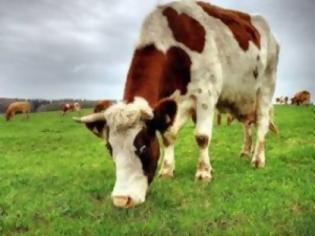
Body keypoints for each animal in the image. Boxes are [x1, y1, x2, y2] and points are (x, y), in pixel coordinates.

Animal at [73, 0, 278, 207]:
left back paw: (258, 159)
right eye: (110, 148)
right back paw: (245, 151)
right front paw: (167, 170)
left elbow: (202, 137)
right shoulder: (176, 104)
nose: (122, 200)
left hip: (266, 87)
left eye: (143, 146)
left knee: (261, 123)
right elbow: (168, 137)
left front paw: (204, 172)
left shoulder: (206, 94)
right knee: (247, 125)